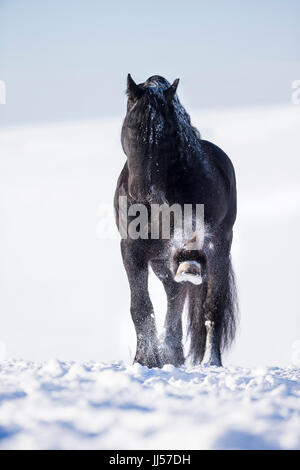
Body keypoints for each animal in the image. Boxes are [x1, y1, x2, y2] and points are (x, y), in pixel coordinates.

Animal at [114, 74, 237, 368]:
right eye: (131, 128)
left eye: (165, 135)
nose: (143, 194)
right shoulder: (130, 249)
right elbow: (141, 306)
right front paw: (145, 360)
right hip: (160, 262)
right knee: (174, 296)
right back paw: (172, 354)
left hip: (219, 249)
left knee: (211, 306)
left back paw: (212, 363)